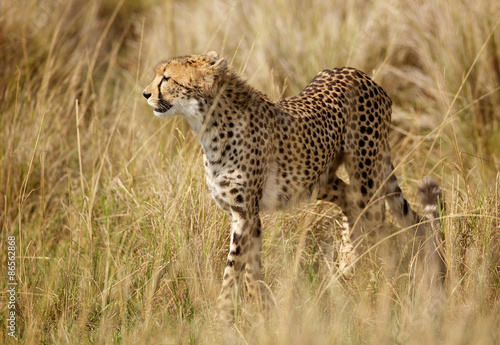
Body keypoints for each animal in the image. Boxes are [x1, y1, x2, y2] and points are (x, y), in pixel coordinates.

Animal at [143, 52, 444, 322]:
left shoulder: (245, 212)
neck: (208, 123)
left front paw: (222, 318)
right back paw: (346, 268)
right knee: (354, 203)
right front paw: (265, 309)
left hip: (367, 173)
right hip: (318, 180)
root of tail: (360, 73)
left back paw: (371, 278)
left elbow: (232, 271)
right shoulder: (244, 213)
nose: (145, 94)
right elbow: (250, 268)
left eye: (166, 78)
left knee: (377, 220)